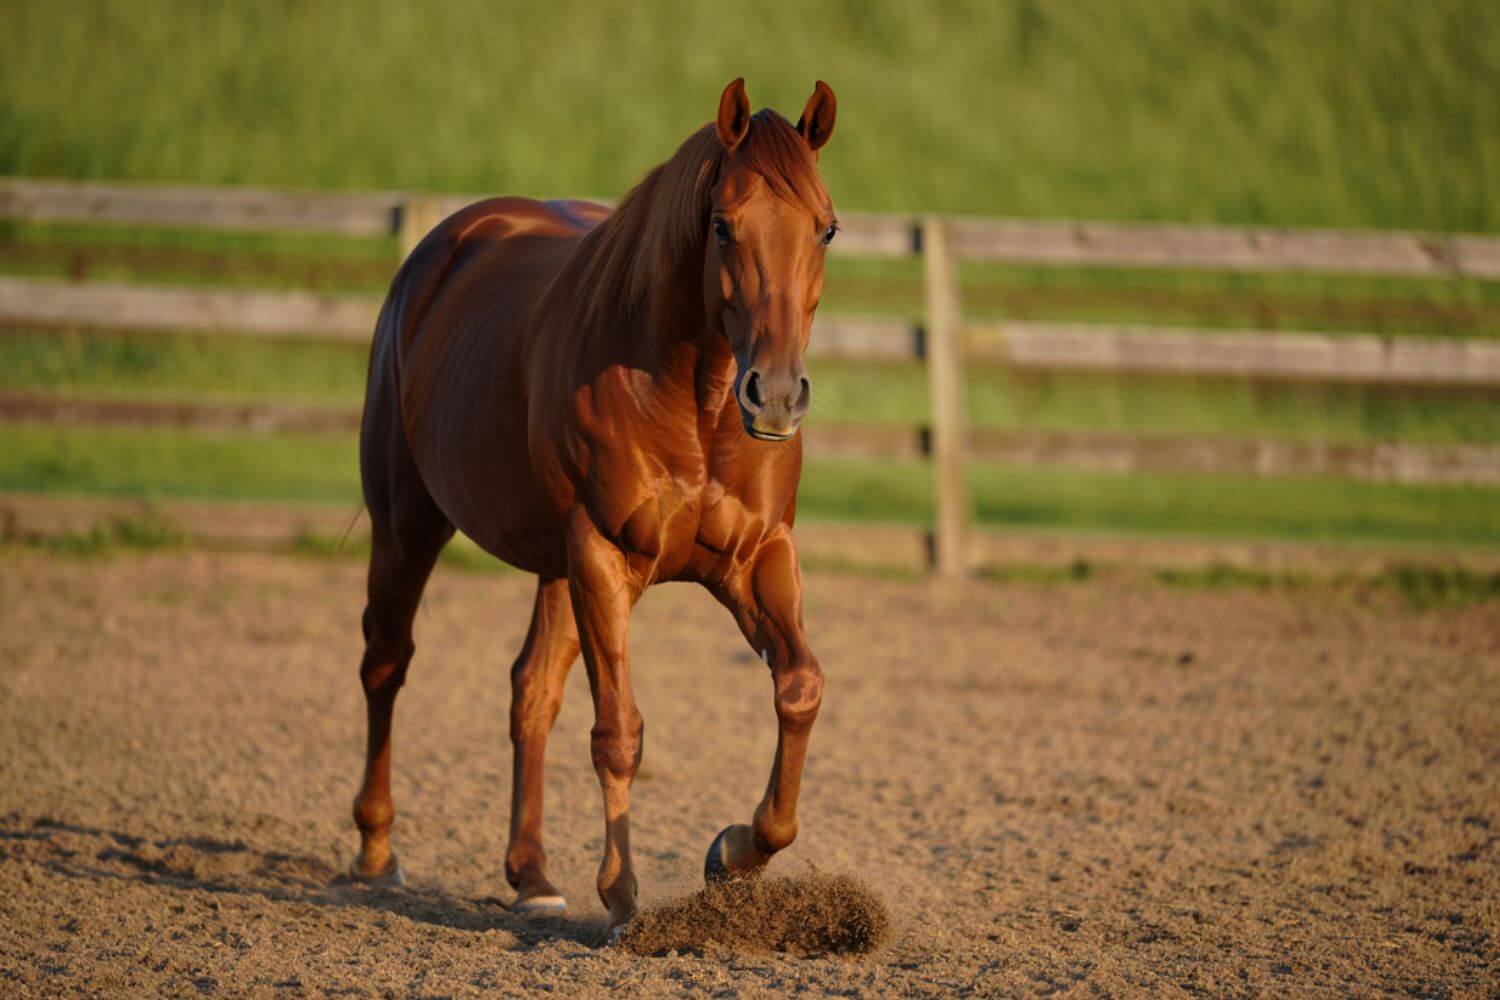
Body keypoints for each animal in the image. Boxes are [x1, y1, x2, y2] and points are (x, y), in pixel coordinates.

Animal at [349, 78, 839, 937]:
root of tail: (447, 245)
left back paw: (532, 875)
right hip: (409, 526)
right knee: (387, 660)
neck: (695, 403)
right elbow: (619, 731)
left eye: (827, 228)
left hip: (553, 567)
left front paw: (733, 852)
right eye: (723, 224)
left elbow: (800, 687)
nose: (777, 395)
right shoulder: (605, 558)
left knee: (531, 691)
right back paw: (377, 851)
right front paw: (622, 896)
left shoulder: (757, 559)